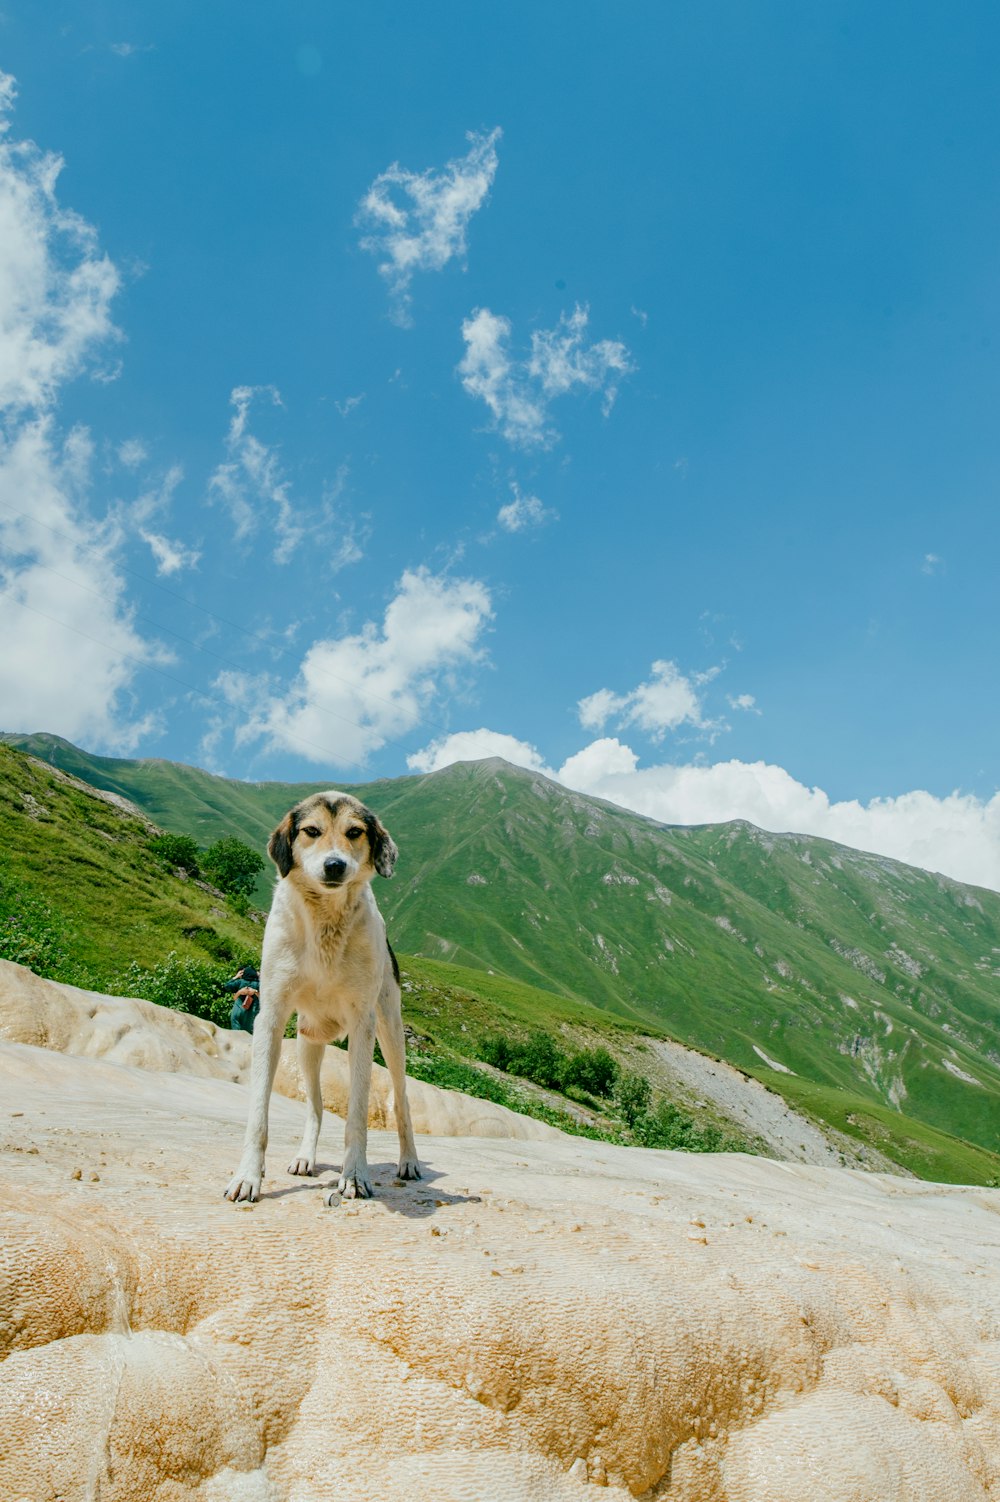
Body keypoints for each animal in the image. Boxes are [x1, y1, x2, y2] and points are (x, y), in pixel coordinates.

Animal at [222, 793, 417, 1201]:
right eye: (311, 831)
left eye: (354, 832)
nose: (334, 864)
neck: (326, 920)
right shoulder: (271, 1015)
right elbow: (259, 1112)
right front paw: (248, 1176)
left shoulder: (363, 1024)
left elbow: (357, 1114)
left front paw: (355, 1175)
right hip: (307, 1043)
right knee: (316, 1105)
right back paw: (305, 1157)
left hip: (390, 1031)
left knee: (402, 1099)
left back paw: (409, 1161)